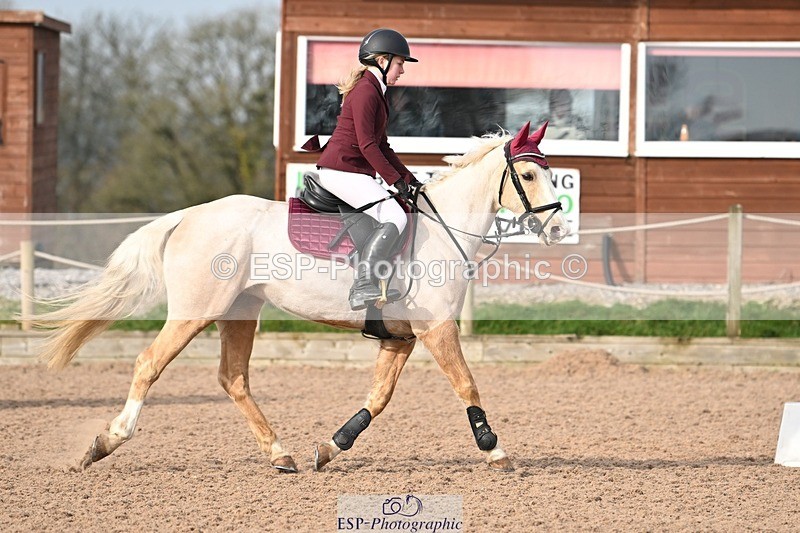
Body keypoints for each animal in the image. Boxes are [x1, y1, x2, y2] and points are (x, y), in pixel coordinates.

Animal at [34, 121, 569, 473]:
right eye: (527, 177)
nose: (560, 229)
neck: (441, 230)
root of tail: (188, 215)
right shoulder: (436, 330)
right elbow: (467, 385)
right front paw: (495, 449)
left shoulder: (399, 338)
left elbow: (378, 399)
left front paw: (331, 448)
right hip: (196, 312)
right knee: (150, 363)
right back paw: (105, 443)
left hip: (240, 313)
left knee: (234, 379)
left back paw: (281, 454)